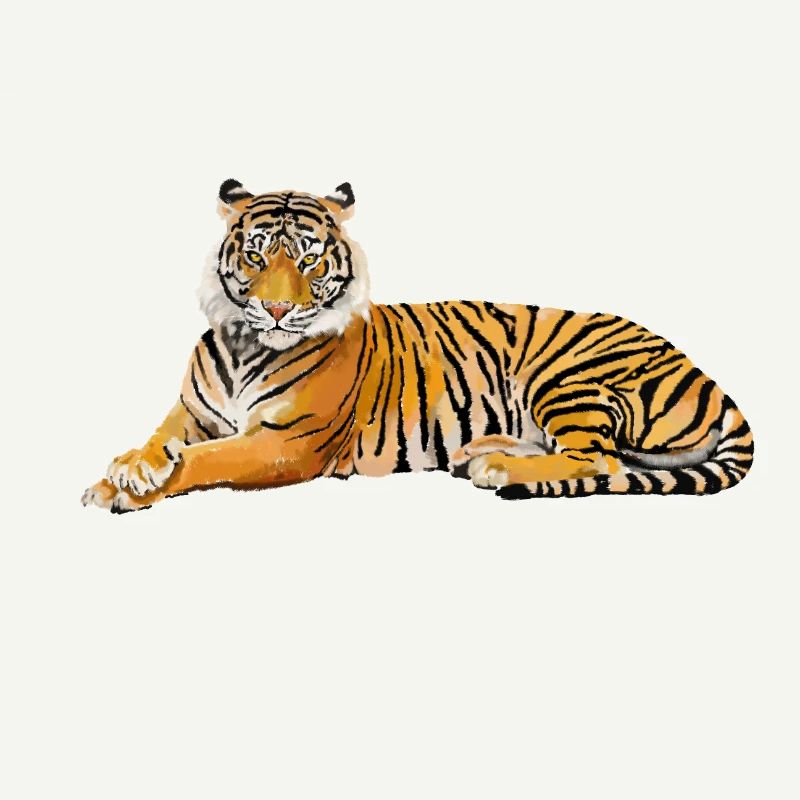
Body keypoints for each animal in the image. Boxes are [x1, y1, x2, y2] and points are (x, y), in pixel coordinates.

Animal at [81, 179, 754, 512]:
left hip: (567, 376)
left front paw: (130, 489)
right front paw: (125, 470)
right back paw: (483, 451)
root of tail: (704, 373)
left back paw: (496, 467)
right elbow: (161, 440)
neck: (246, 344)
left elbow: (205, 460)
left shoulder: (286, 444)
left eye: (308, 258)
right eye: (256, 255)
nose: (276, 309)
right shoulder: (190, 412)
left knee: (600, 461)